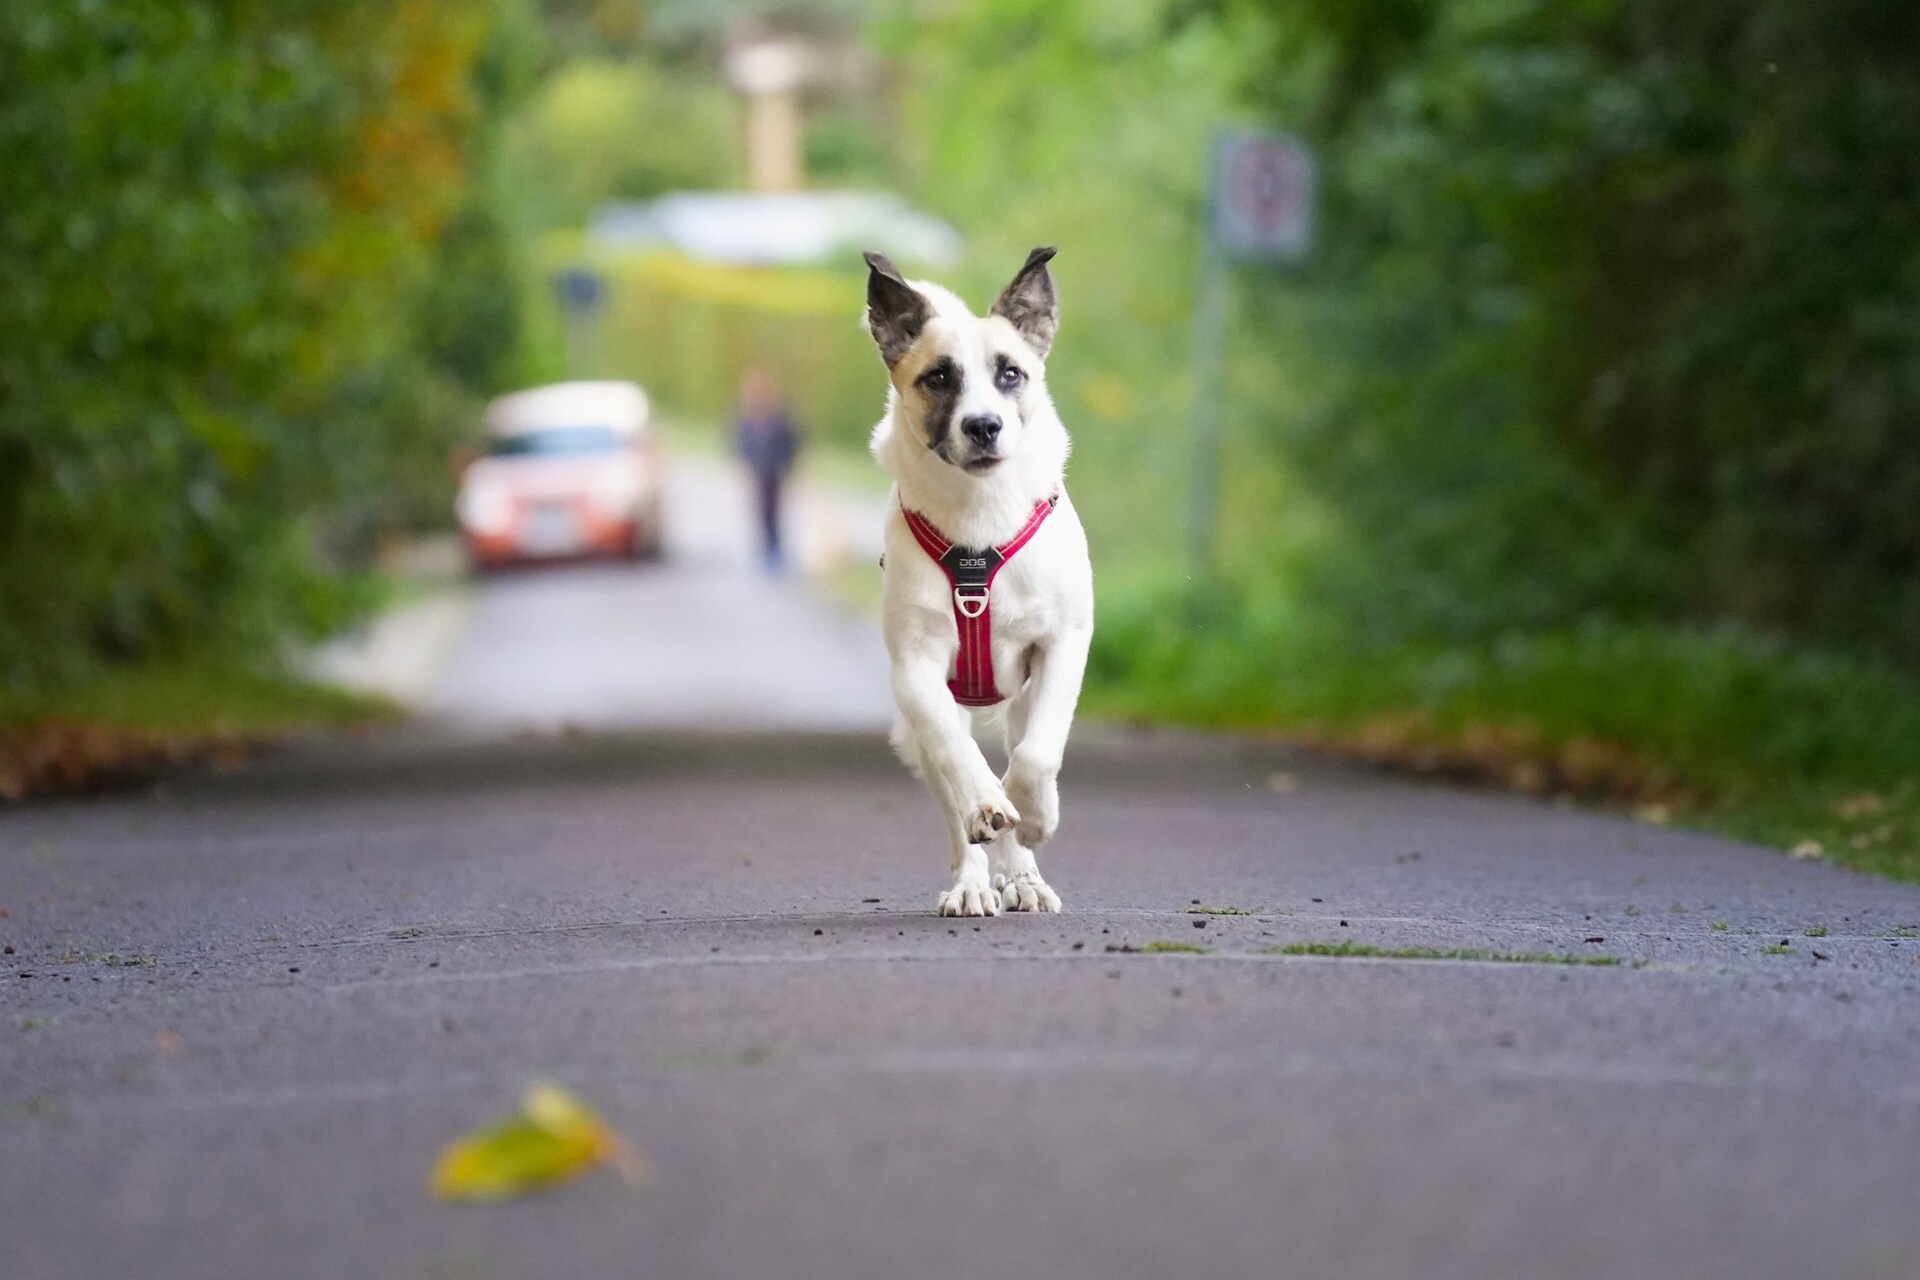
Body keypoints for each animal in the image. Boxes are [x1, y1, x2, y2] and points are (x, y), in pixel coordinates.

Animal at [867, 245, 1098, 917]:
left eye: (1011, 374)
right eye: (939, 377)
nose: (983, 426)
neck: (980, 521)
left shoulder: (1063, 644)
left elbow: (1037, 754)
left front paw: (1035, 818)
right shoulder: (916, 669)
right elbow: (957, 753)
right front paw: (988, 807)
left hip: (1021, 697)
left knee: (1022, 751)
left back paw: (1023, 876)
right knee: (954, 798)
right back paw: (973, 877)